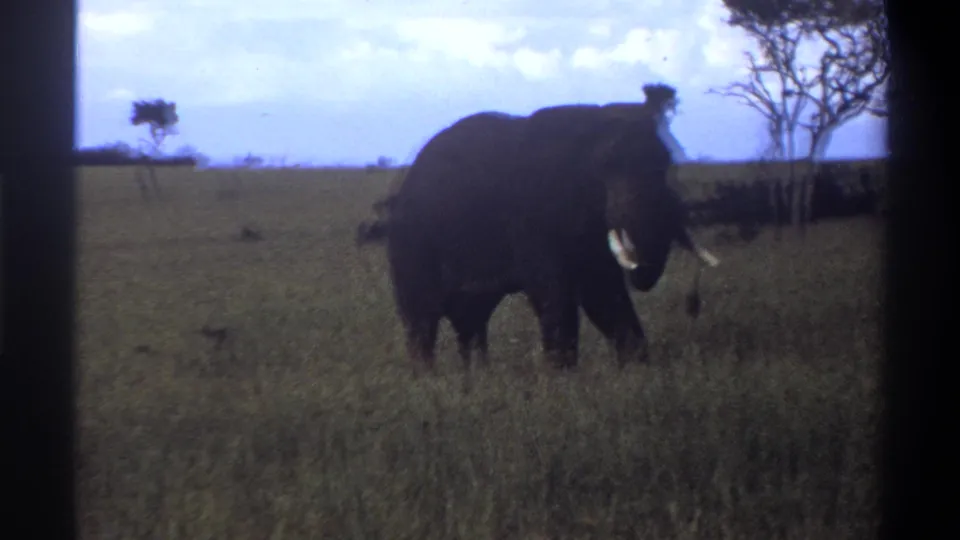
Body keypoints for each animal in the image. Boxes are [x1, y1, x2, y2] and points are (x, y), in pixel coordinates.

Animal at [357, 98, 719, 372]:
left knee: (470, 322)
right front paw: (564, 382)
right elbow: (555, 294)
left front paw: (639, 373)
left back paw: (476, 380)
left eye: (666, 163)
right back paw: (429, 383)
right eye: (606, 167)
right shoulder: (533, 215)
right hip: (412, 243)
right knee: (422, 320)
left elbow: (604, 295)